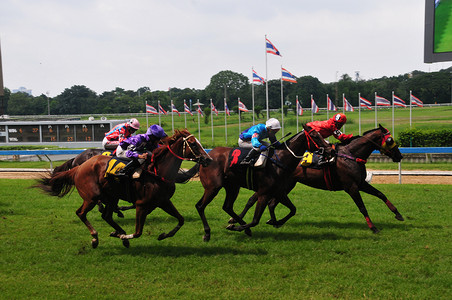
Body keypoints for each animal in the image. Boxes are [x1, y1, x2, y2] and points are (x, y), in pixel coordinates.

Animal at [35, 129, 212, 248]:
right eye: (194, 144)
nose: (208, 159)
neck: (158, 172)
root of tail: (78, 167)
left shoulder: (163, 201)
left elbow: (180, 220)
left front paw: (163, 235)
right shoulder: (141, 204)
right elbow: (138, 232)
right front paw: (125, 236)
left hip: (111, 196)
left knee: (107, 216)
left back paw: (117, 231)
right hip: (91, 196)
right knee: (82, 213)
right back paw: (96, 238)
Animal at [177, 124, 332, 241]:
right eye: (315, 136)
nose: (330, 149)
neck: (279, 162)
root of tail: (206, 156)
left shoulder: (279, 191)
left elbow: (293, 209)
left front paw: (276, 222)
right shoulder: (264, 193)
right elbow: (256, 219)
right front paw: (238, 227)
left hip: (233, 187)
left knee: (227, 206)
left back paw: (239, 225)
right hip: (213, 187)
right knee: (200, 206)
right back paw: (208, 233)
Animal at [233, 124, 402, 234]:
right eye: (390, 140)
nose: (399, 156)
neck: (351, 154)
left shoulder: (360, 183)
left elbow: (381, 194)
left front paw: (398, 214)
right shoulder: (352, 187)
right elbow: (362, 207)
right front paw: (373, 227)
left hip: (286, 185)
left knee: (270, 202)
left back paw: (271, 221)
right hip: (283, 185)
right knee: (261, 201)